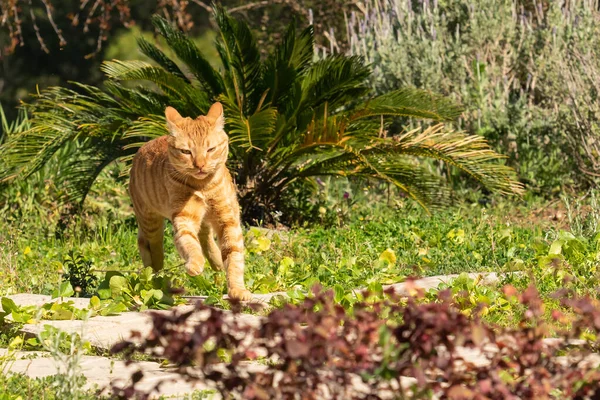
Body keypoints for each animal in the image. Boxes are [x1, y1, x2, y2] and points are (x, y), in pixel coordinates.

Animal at [130, 102, 252, 300]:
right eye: (186, 152)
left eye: (211, 149)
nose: (200, 165)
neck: (203, 186)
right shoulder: (184, 217)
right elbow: (189, 242)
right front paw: (195, 263)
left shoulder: (228, 219)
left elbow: (233, 254)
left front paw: (237, 289)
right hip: (151, 224)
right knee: (154, 252)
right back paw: (159, 280)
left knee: (205, 236)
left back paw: (217, 261)